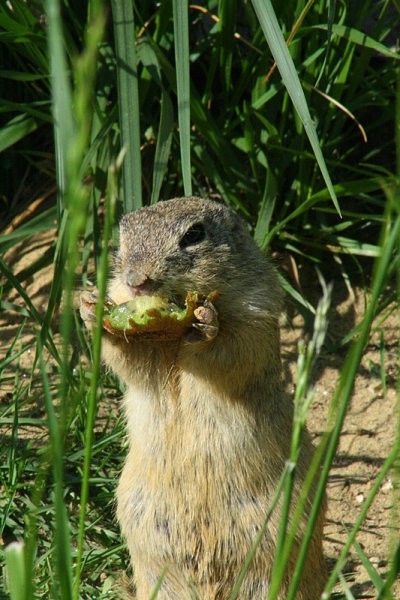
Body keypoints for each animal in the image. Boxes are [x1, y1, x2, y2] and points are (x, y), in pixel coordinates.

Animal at [79, 198, 326, 600]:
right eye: (123, 236)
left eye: (194, 235)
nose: (137, 282)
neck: (172, 334)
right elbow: (133, 363)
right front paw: (92, 308)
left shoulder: (256, 311)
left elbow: (234, 350)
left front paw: (206, 321)